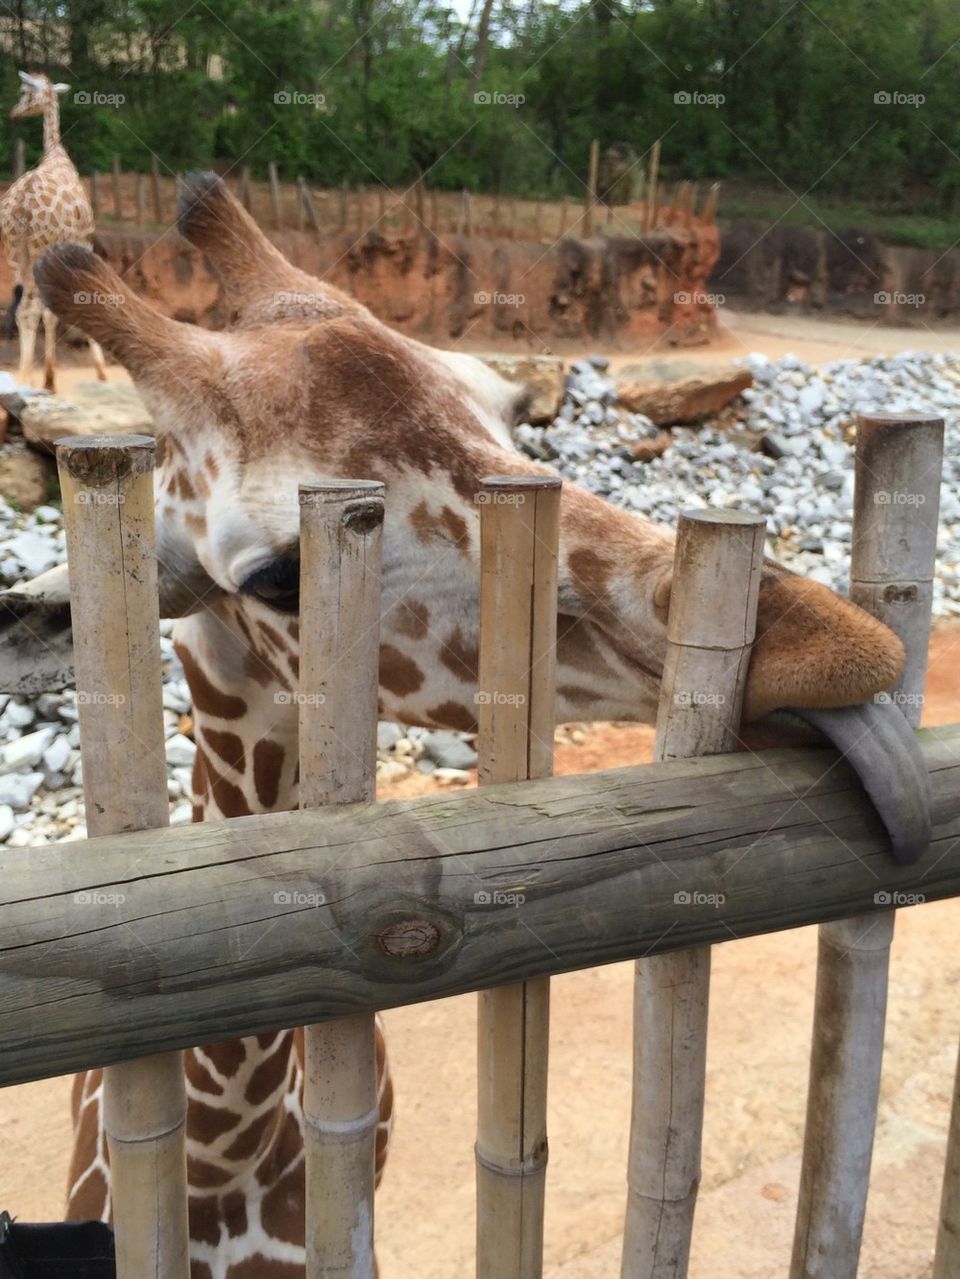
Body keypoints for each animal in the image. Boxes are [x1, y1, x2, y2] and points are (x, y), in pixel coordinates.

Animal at [0, 70, 107, 391]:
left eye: (24, 92)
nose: (14, 112)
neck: (57, 155)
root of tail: (22, 205)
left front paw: (50, 377)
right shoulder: (83, 243)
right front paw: (99, 372)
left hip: (15, 252)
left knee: (23, 309)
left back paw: (25, 377)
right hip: (38, 248)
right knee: (31, 308)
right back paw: (28, 377)